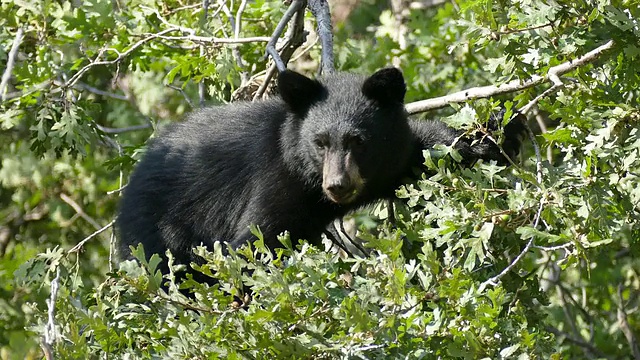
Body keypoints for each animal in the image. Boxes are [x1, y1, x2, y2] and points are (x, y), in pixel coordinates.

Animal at [116, 69, 524, 278]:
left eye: (358, 140)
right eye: (320, 142)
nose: (337, 185)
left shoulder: (395, 159)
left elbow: (432, 149)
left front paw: (497, 131)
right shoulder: (275, 180)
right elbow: (253, 242)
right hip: (157, 233)